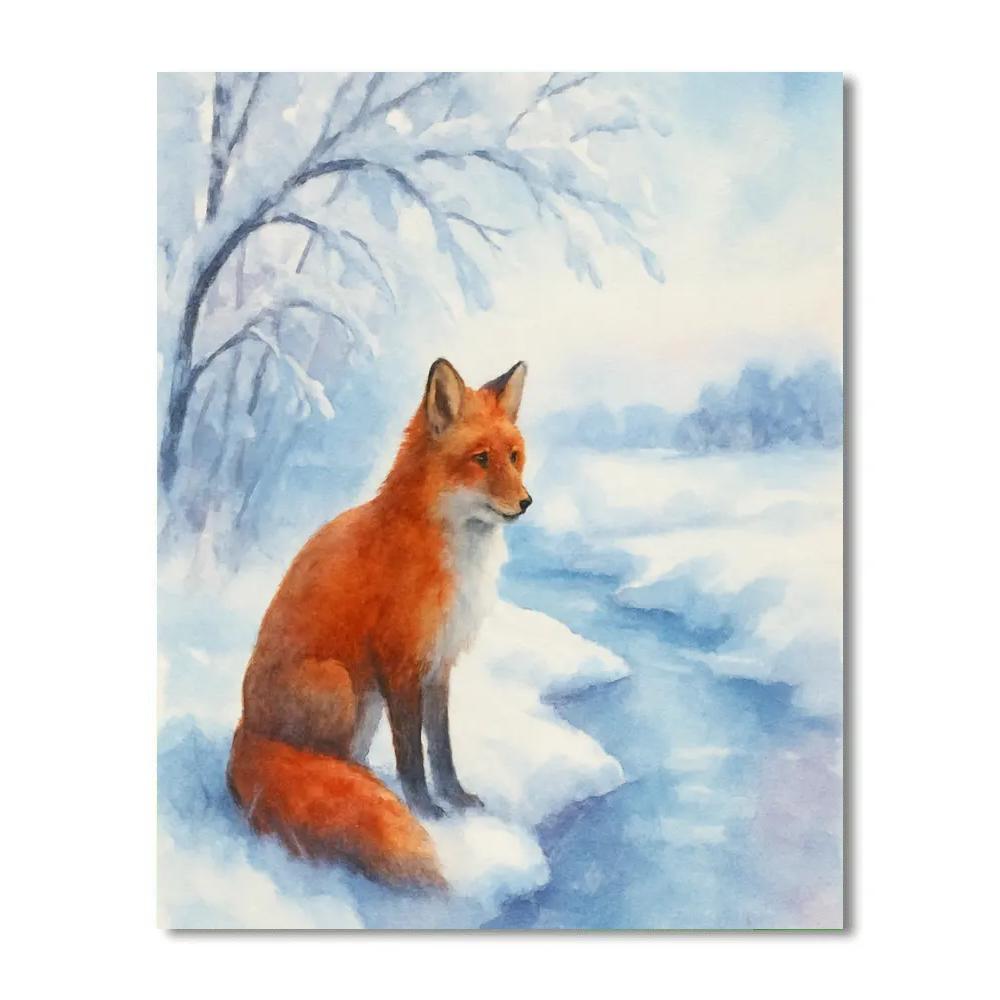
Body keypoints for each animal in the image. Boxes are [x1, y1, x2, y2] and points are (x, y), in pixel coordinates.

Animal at [226, 358, 531, 890]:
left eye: (514, 457)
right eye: (480, 459)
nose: (526, 502)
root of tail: (248, 728)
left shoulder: (439, 665)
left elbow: (442, 747)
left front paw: (456, 799)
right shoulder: (400, 663)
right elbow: (411, 755)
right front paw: (426, 810)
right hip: (340, 684)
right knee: (324, 762)